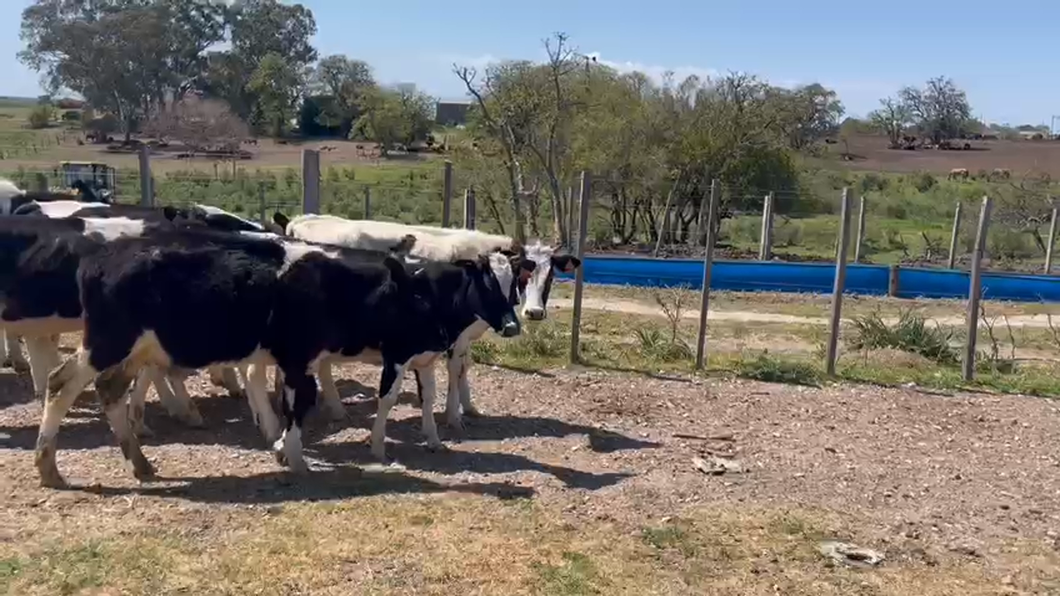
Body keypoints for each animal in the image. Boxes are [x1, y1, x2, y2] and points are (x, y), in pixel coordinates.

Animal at [38, 224, 521, 485]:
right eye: (486, 282)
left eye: (513, 283)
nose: (514, 325)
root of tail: (101, 257)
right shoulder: (342, 357)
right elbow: (318, 405)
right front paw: (304, 456)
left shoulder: (419, 356)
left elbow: (428, 398)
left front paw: (434, 438)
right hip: (107, 342)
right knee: (62, 384)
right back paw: (50, 468)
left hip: (135, 350)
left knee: (111, 390)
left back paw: (140, 462)